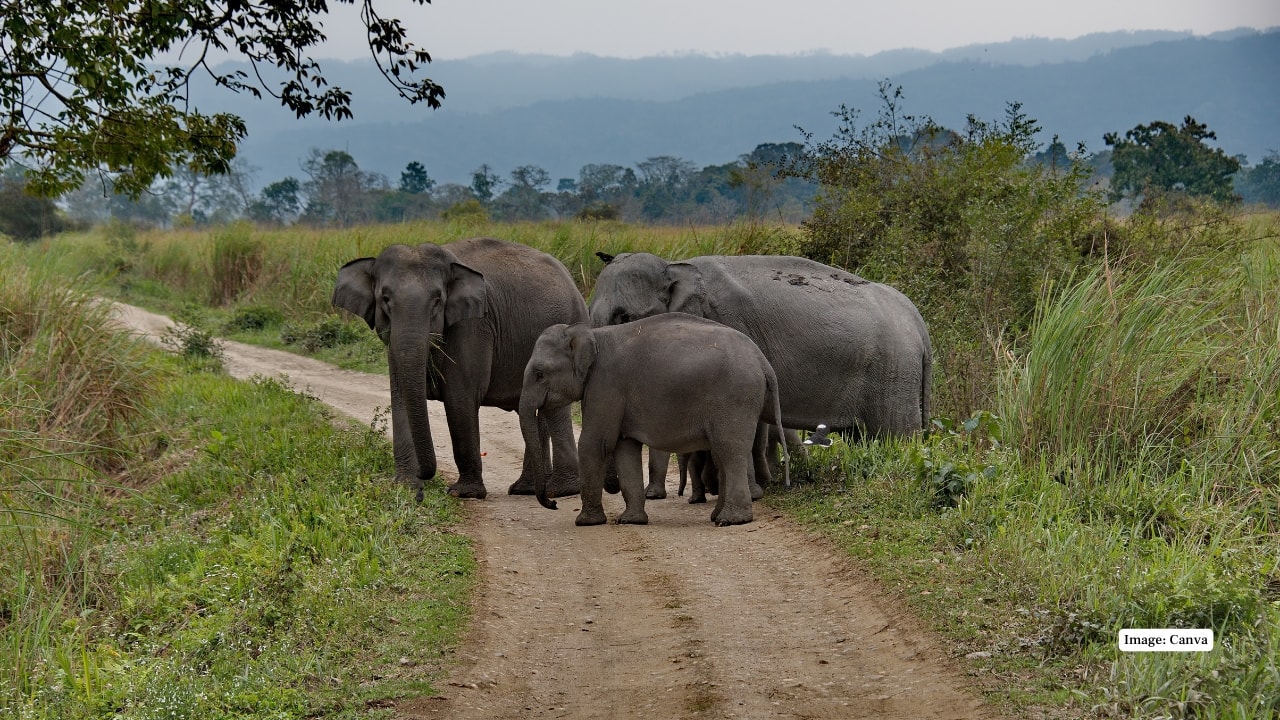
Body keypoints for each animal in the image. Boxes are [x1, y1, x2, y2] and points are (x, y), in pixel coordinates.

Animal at [333, 237, 588, 501]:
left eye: (437, 299)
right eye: (385, 298)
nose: (425, 478)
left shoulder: (473, 326)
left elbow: (459, 398)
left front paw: (463, 493)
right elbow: (400, 396)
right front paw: (405, 486)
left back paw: (558, 489)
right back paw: (525, 489)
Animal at [519, 314, 787, 526]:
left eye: (540, 374)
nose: (553, 503)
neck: (591, 334)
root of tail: (764, 362)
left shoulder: (606, 385)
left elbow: (595, 444)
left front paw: (585, 522)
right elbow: (624, 448)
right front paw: (630, 521)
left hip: (735, 398)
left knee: (730, 451)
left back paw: (730, 520)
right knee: (722, 453)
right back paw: (717, 516)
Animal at [590, 252, 932, 441]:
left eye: (623, 317)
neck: (673, 266)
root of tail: (918, 322)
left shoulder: (730, 322)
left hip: (894, 372)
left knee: (894, 436)